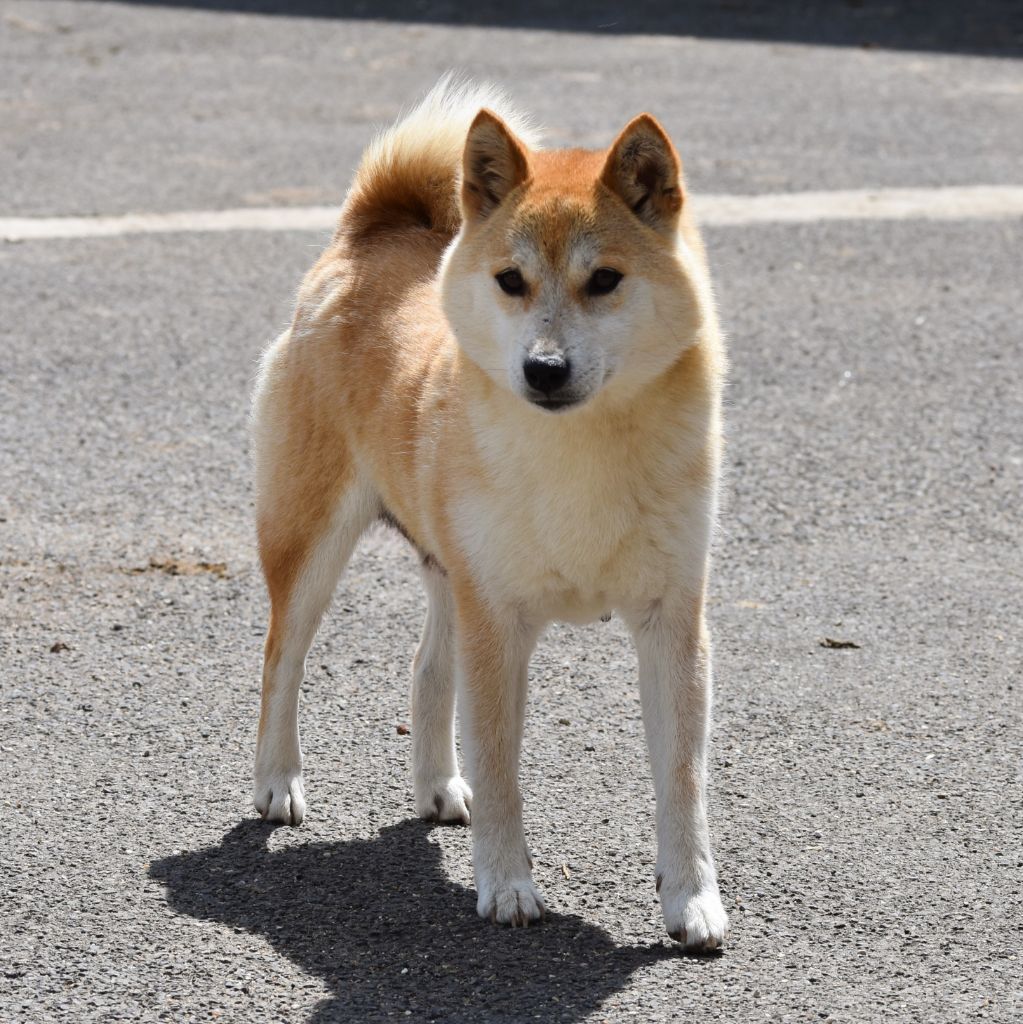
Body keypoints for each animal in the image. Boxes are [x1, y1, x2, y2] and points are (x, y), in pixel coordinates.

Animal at [251, 75, 733, 946]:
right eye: (511, 280)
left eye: (604, 280)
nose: (543, 369)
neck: (579, 450)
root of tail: (366, 236)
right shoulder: (499, 623)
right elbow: (502, 767)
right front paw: (507, 885)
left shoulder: (672, 622)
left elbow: (682, 780)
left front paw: (691, 899)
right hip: (312, 542)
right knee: (282, 659)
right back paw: (278, 781)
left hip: (453, 572)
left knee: (426, 668)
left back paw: (437, 786)